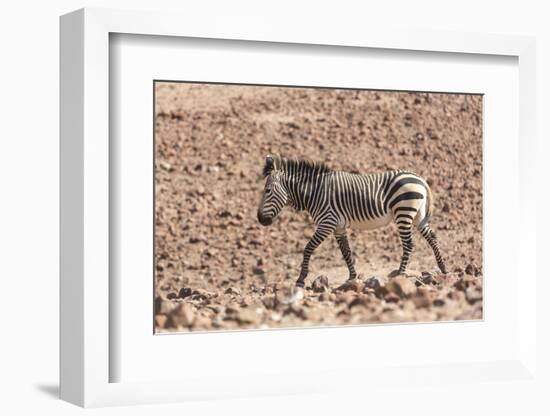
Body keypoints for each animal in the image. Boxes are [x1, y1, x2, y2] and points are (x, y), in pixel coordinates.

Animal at [258, 154, 448, 288]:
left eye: (267, 190)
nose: (260, 219)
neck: (315, 192)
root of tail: (420, 178)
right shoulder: (338, 227)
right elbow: (346, 252)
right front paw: (352, 277)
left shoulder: (327, 223)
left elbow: (308, 248)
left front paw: (301, 279)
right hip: (418, 215)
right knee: (432, 236)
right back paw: (443, 267)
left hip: (403, 212)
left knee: (409, 244)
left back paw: (400, 274)